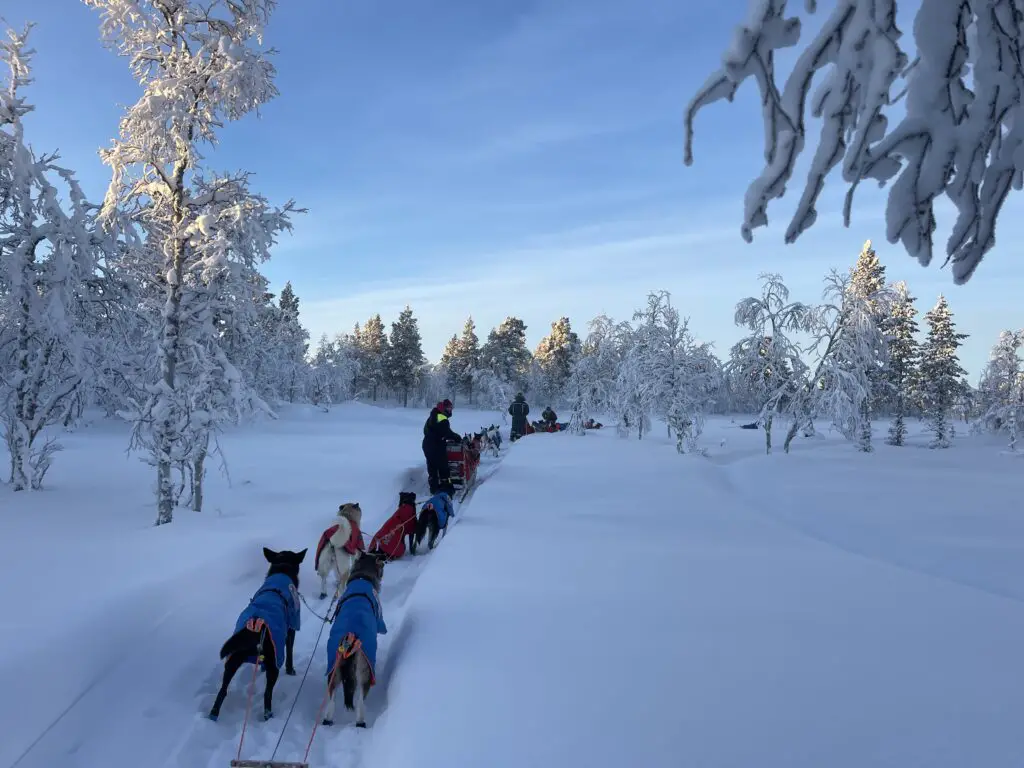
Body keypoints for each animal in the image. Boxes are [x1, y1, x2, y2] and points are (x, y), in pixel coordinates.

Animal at [206, 548, 303, 720]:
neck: (281, 570)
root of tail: (255, 626)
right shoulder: (291, 628)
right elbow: (290, 652)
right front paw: (291, 671)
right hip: (273, 664)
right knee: (267, 694)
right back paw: (268, 716)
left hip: (232, 660)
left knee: (222, 691)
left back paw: (213, 715)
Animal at [323, 552, 387, 729]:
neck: (361, 577)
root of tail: (350, 636)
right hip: (365, 670)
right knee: (360, 700)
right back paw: (360, 721)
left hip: (334, 667)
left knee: (332, 696)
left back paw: (328, 719)